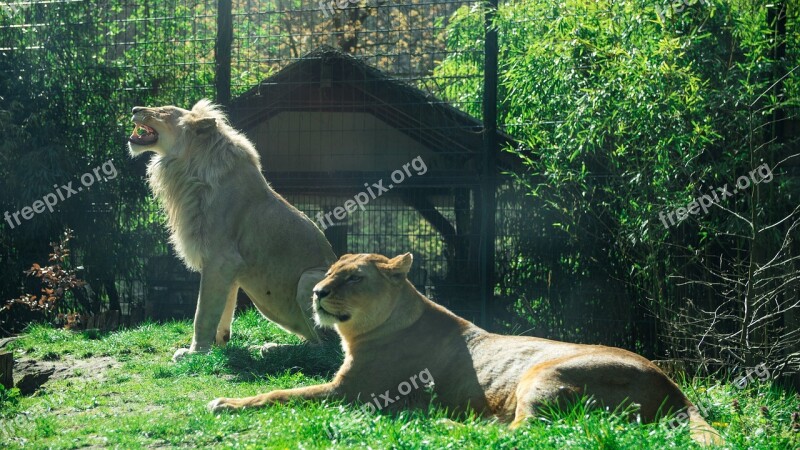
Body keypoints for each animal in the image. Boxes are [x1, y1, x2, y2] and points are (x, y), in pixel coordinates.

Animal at [127, 100, 338, 360]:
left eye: (164, 111)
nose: (134, 109)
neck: (187, 167)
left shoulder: (221, 259)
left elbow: (202, 313)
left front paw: (195, 353)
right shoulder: (228, 268)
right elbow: (222, 310)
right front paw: (218, 347)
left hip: (309, 280)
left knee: (327, 348)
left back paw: (273, 350)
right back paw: (268, 347)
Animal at [211, 253, 724, 446]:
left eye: (353, 277)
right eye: (333, 270)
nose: (318, 292)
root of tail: (675, 390)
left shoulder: (352, 394)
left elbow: (280, 394)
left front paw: (225, 402)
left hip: (543, 374)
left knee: (523, 434)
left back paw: (441, 422)